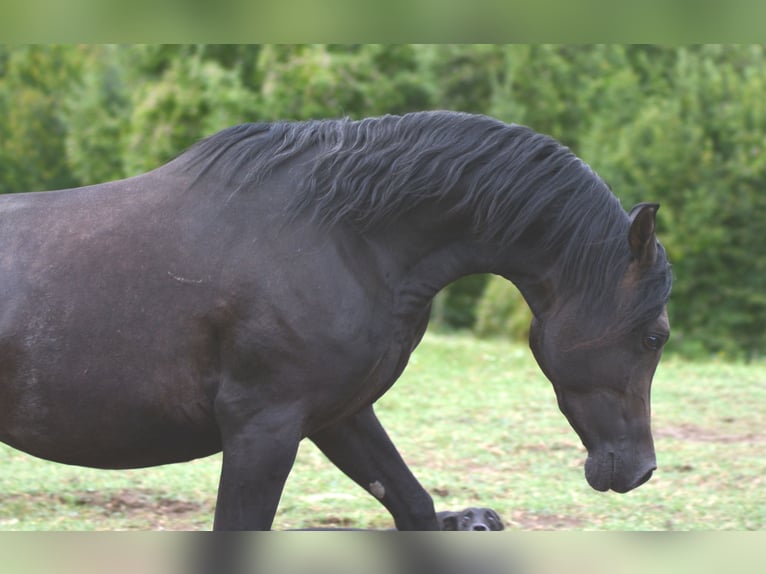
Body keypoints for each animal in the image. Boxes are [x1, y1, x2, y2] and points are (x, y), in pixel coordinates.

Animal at [0, 111, 672, 530]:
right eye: (654, 336)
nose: (641, 471)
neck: (345, 238)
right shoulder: (263, 429)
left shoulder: (339, 416)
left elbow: (414, 507)